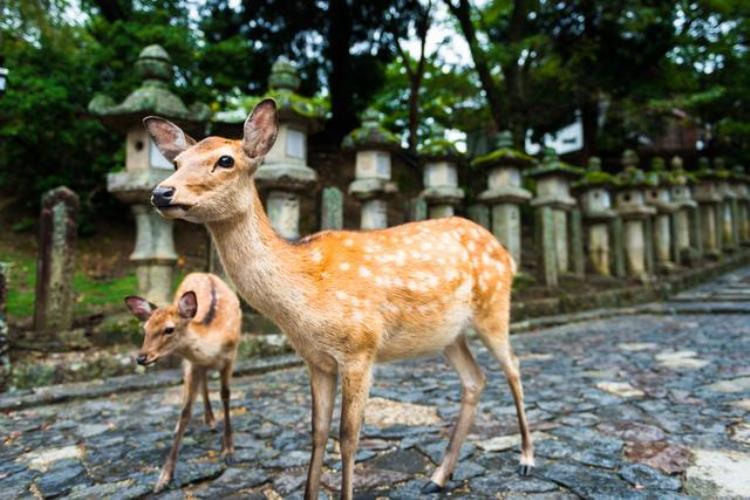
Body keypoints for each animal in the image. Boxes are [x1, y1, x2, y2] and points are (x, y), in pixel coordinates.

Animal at [145, 99, 536, 498]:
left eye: (226, 160)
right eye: (177, 163)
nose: (161, 193)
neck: (302, 301)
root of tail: (506, 253)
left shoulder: (360, 349)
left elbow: (348, 437)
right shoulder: (316, 360)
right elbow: (317, 433)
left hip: (494, 308)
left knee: (514, 367)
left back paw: (526, 459)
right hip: (449, 335)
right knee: (475, 379)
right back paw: (439, 475)